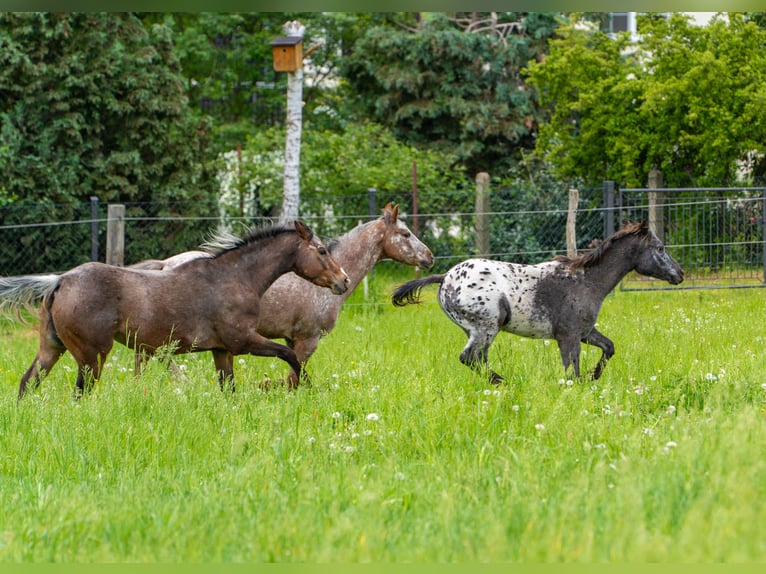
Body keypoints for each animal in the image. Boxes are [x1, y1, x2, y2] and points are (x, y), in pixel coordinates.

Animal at [17, 220, 349, 398]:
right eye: (322, 251)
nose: (343, 281)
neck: (236, 278)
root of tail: (60, 281)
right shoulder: (243, 341)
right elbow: (290, 355)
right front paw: (307, 387)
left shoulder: (222, 350)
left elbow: (228, 387)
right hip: (91, 355)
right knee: (79, 392)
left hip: (52, 348)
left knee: (27, 382)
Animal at [391, 221, 684, 384]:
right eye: (660, 248)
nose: (679, 274)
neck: (586, 280)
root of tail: (445, 277)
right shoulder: (568, 337)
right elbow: (571, 371)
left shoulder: (585, 332)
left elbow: (608, 348)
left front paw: (594, 376)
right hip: (486, 327)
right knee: (469, 358)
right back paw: (503, 381)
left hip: (479, 332)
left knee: (478, 359)